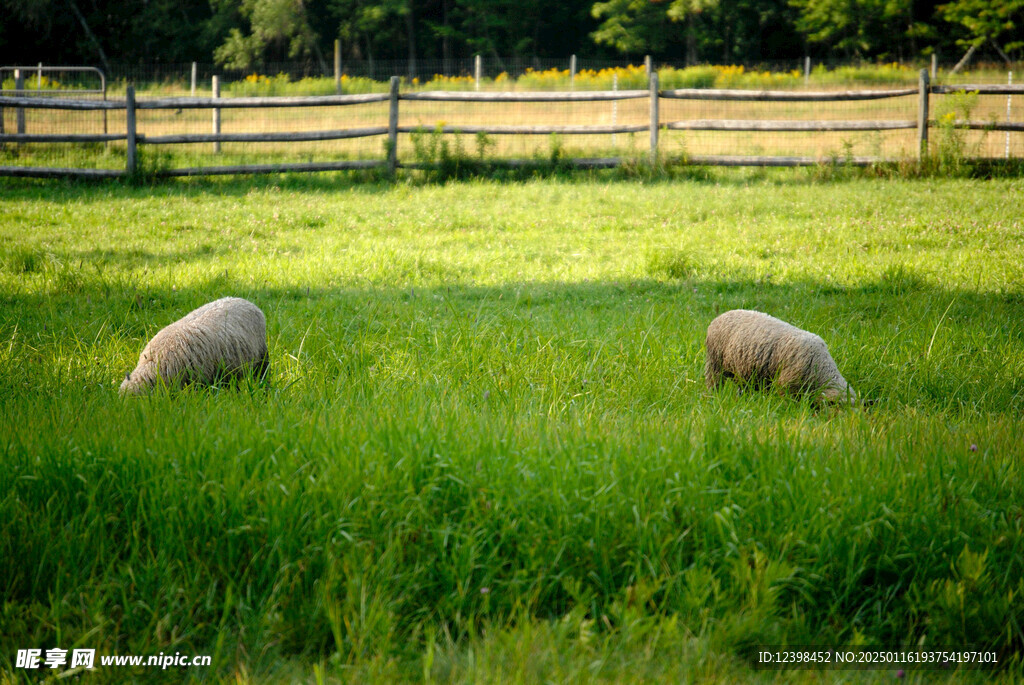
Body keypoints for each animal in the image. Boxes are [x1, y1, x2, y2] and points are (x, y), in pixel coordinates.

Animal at [704, 309, 856, 401]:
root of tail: (720, 316)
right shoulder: (786, 384)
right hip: (714, 363)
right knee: (713, 382)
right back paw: (714, 396)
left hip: (744, 370)